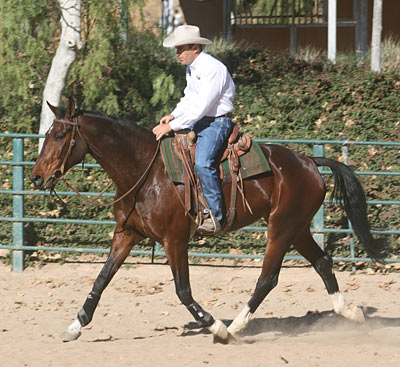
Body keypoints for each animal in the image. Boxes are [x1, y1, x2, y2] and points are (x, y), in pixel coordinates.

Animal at [29, 102, 386, 344]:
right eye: (47, 133)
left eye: (59, 135)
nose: (36, 178)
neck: (145, 171)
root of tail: (310, 161)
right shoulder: (126, 235)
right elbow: (101, 280)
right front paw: (75, 326)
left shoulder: (175, 240)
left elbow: (183, 290)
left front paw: (215, 325)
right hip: (297, 229)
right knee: (323, 262)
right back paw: (350, 313)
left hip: (281, 228)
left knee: (267, 278)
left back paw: (235, 327)